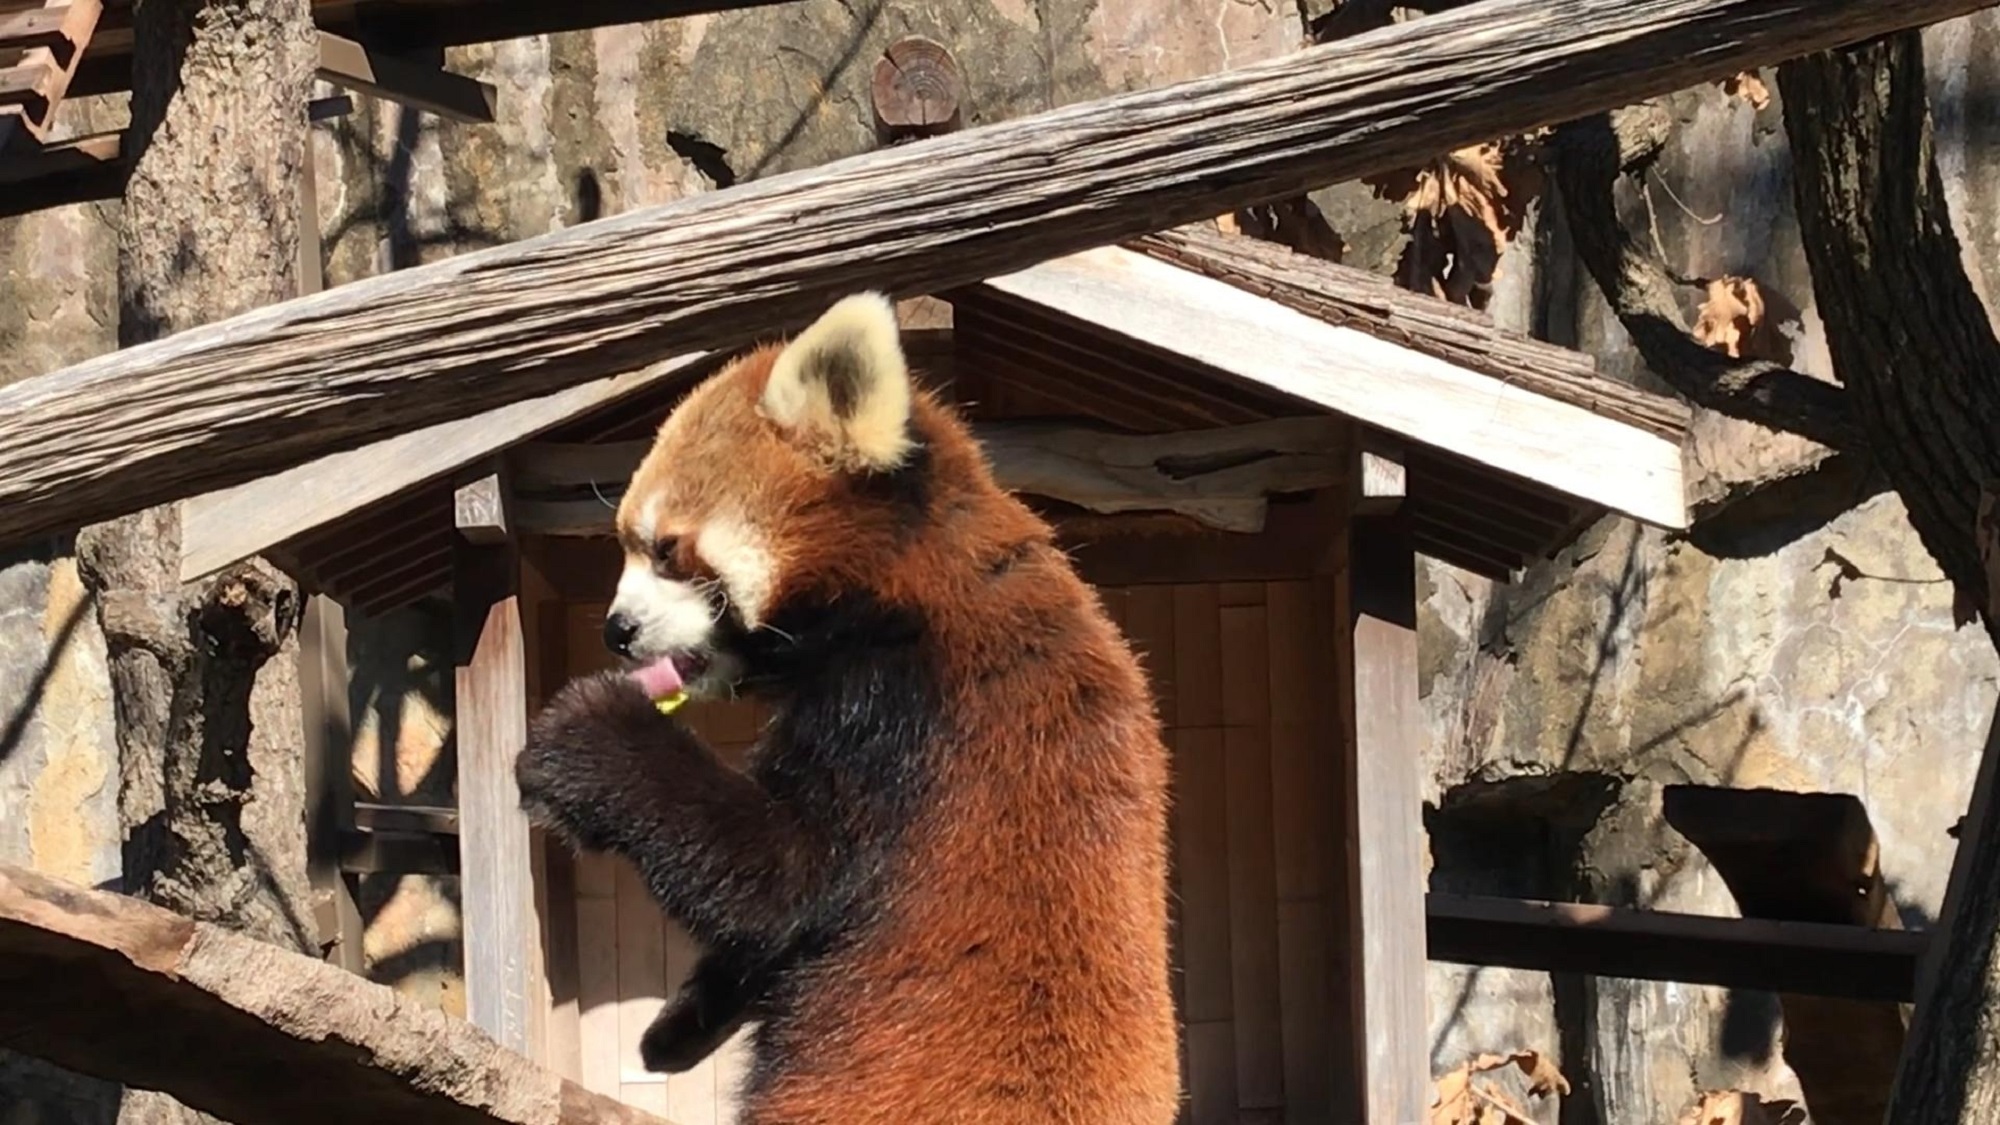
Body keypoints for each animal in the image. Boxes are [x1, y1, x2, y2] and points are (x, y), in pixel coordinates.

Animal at [516, 294, 1184, 1112]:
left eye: (665, 549)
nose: (616, 630)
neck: (910, 594)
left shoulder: (904, 717)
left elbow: (782, 880)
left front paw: (591, 738)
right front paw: (678, 1026)